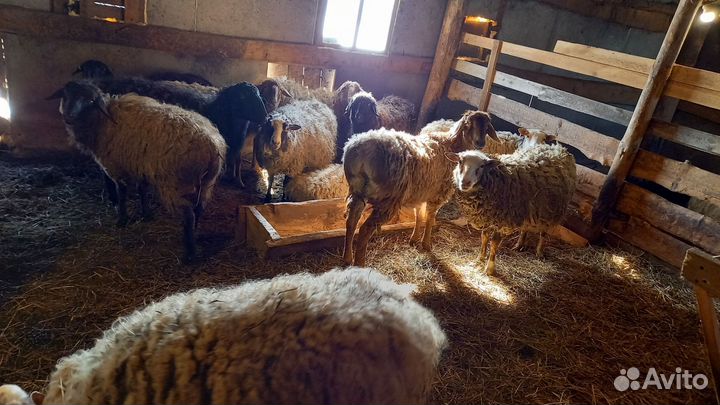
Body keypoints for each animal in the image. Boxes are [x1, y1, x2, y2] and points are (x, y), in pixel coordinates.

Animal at [48, 81, 226, 262]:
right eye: (65, 95)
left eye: (89, 101)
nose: (68, 117)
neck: (102, 121)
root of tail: (212, 145)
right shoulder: (140, 166)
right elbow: (142, 190)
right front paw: (146, 215)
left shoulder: (116, 167)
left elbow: (122, 193)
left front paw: (122, 219)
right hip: (206, 182)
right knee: (199, 208)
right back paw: (194, 234)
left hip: (176, 183)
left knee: (189, 214)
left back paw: (189, 255)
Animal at [343, 110, 498, 266]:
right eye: (468, 124)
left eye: (486, 127)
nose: (480, 143)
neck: (452, 146)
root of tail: (360, 152)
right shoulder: (438, 194)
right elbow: (429, 218)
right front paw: (426, 244)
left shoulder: (420, 192)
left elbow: (419, 215)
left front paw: (414, 239)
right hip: (389, 198)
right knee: (364, 229)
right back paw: (359, 263)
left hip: (357, 192)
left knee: (351, 222)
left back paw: (347, 258)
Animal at [448, 144, 577, 275]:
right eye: (460, 161)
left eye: (482, 166)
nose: (465, 183)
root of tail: (558, 148)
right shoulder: (486, 218)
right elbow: (484, 238)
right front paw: (479, 258)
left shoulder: (501, 221)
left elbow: (494, 244)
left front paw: (490, 268)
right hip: (528, 208)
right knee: (525, 228)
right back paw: (519, 245)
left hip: (550, 210)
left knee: (543, 233)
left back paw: (539, 252)